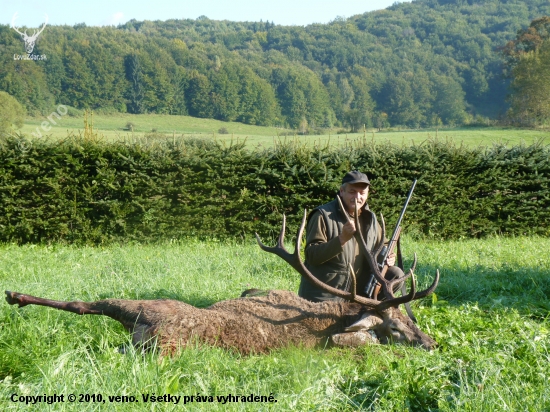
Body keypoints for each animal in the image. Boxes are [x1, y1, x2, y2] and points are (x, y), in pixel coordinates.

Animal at [4, 212, 442, 354]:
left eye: (413, 318)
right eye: (396, 326)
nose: (431, 343)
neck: (339, 311)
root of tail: (145, 328)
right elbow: (363, 342)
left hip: (142, 307)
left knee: (86, 303)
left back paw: (14, 294)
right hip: (163, 341)